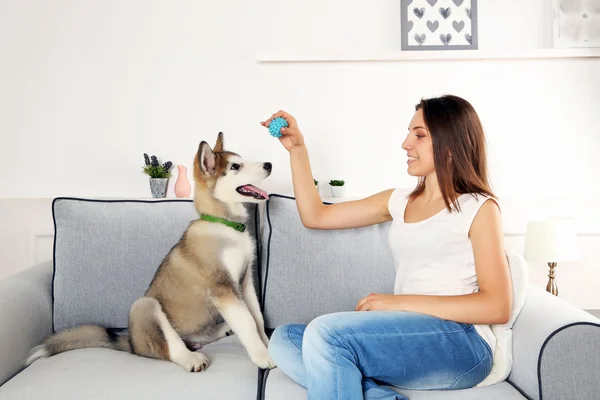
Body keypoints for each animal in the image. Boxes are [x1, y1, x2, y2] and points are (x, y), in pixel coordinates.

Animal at [24, 132, 276, 372]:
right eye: (235, 167)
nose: (269, 164)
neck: (224, 225)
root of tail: (131, 342)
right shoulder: (222, 286)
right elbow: (248, 322)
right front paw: (264, 357)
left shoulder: (244, 282)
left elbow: (257, 318)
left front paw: (268, 345)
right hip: (145, 306)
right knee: (169, 347)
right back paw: (191, 359)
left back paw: (221, 329)